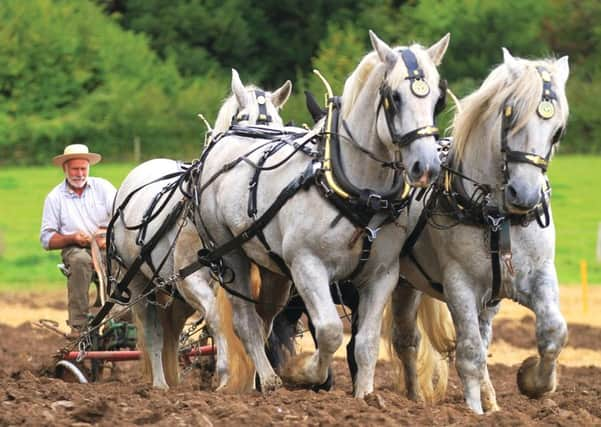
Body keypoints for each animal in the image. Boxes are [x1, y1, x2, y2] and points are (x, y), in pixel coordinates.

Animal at [192, 30, 450, 398]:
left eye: (438, 100)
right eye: (395, 97)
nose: (426, 166)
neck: (359, 193)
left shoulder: (382, 274)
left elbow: (365, 343)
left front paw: (366, 396)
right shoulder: (307, 266)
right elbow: (328, 331)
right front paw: (306, 374)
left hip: (274, 271)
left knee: (264, 318)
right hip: (230, 255)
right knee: (245, 322)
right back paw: (268, 380)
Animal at [384, 49, 568, 414]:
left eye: (558, 131)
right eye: (511, 116)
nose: (525, 195)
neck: (497, 218)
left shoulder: (535, 274)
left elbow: (553, 331)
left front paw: (534, 382)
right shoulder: (460, 285)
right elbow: (469, 353)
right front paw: (474, 412)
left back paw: (489, 401)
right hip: (402, 281)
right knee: (405, 339)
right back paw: (412, 399)